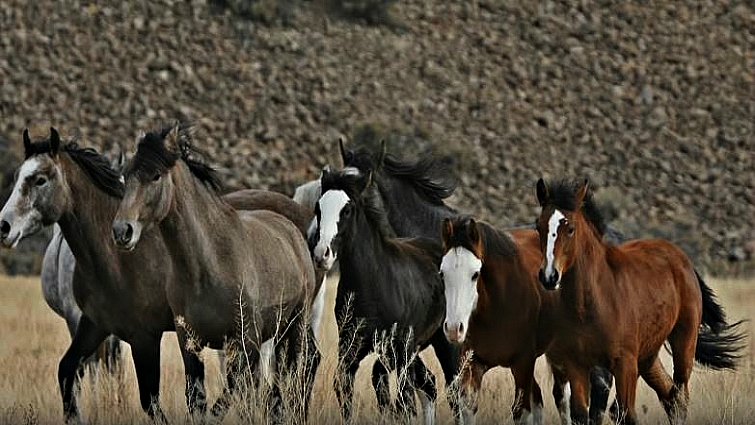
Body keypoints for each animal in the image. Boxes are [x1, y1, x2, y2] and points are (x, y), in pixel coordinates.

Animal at [111, 123, 322, 421]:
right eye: (126, 175)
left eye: (155, 175)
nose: (122, 231)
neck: (208, 265)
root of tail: (292, 231)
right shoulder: (190, 343)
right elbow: (199, 400)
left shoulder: (244, 342)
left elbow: (227, 398)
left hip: (296, 326)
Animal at [310, 162, 450, 425]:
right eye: (318, 207)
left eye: (347, 210)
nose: (322, 254)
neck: (374, 283)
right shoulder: (350, 349)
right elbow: (346, 391)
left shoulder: (400, 349)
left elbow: (403, 401)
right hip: (410, 350)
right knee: (428, 384)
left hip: (441, 342)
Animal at [535, 178, 746, 425]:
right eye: (539, 227)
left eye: (570, 229)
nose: (549, 276)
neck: (591, 301)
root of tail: (681, 258)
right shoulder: (576, 365)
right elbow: (580, 414)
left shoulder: (624, 364)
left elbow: (626, 413)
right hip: (648, 354)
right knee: (669, 395)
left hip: (684, 341)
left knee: (680, 394)